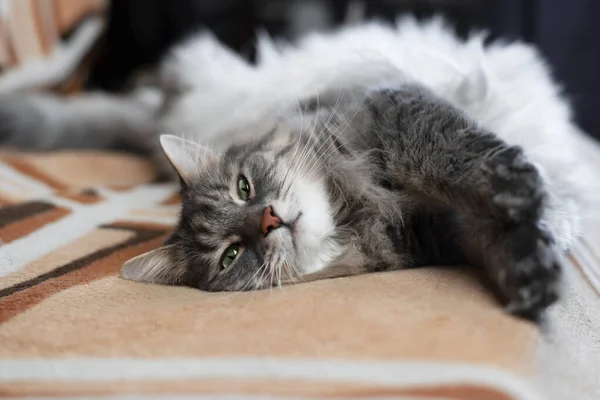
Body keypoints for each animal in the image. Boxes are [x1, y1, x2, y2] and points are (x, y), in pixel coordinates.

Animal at [122, 84, 564, 318]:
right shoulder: (445, 234)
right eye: (230, 256)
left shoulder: (397, 113)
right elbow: (494, 240)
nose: (268, 221)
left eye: (243, 187)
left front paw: (520, 189)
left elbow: (443, 155)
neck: (354, 206)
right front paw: (530, 272)